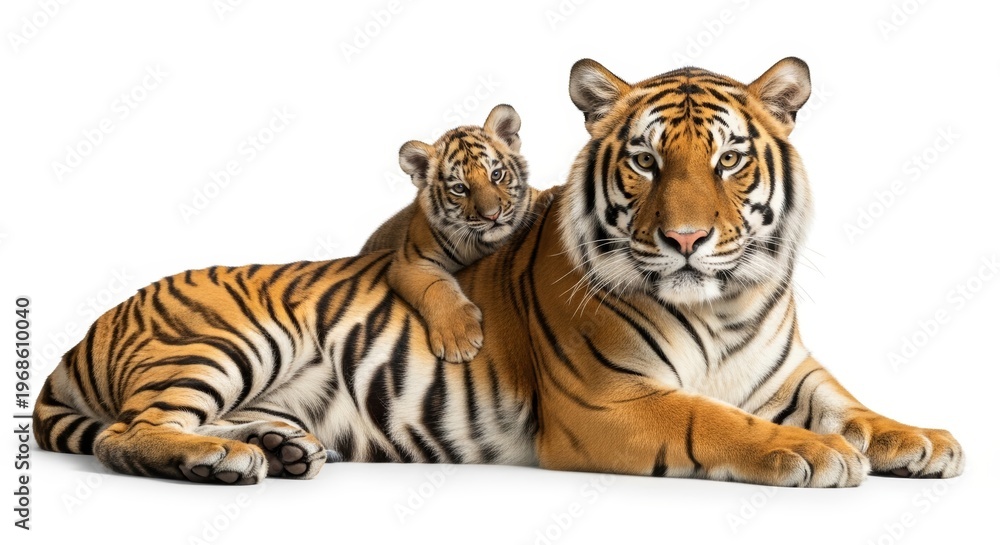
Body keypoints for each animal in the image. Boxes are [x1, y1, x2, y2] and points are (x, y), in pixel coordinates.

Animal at [360, 104, 551, 363]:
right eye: (460, 188)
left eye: (496, 175)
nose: (492, 215)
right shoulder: (410, 262)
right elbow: (437, 287)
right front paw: (459, 338)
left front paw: (549, 197)